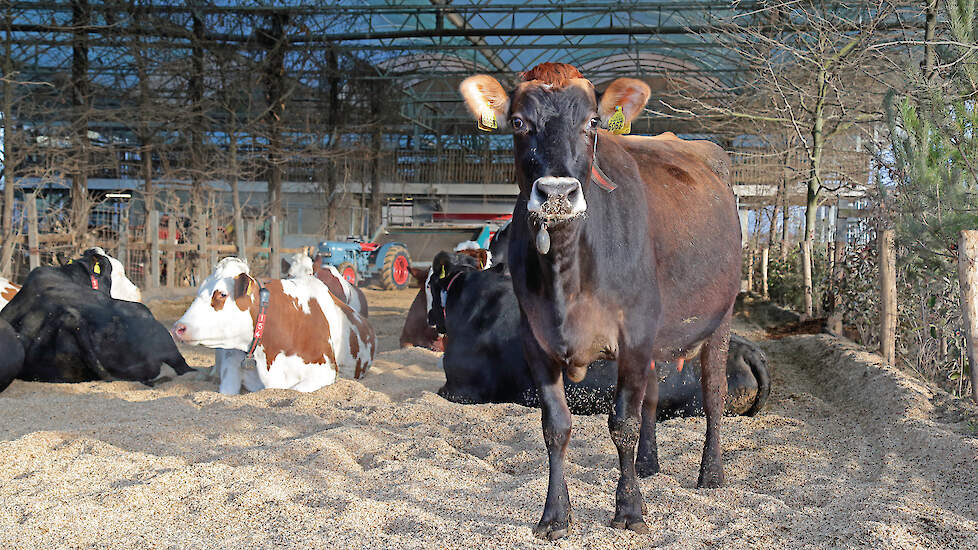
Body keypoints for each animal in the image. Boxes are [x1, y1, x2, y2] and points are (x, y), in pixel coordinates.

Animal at [460, 63, 740, 540]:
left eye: (592, 122)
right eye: (517, 122)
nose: (556, 193)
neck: (567, 276)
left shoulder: (634, 334)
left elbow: (622, 423)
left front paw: (630, 510)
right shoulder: (536, 339)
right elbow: (556, 426)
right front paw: (555, 515)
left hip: (720, 317)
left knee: (713, 393)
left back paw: (711, 473)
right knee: (652, 397)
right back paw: (647, 464)